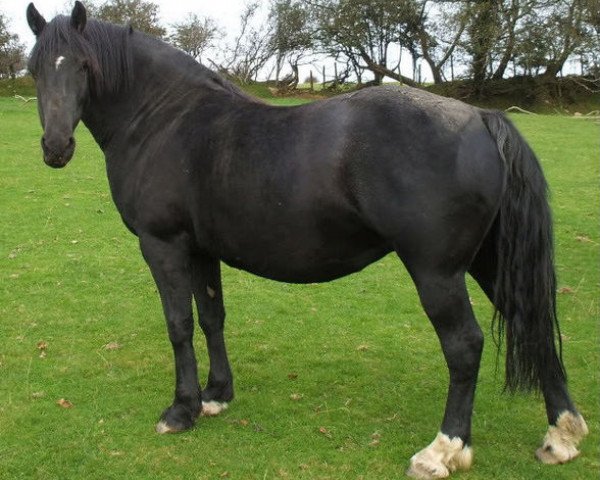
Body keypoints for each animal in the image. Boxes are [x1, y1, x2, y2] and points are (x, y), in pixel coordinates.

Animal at [27, 2, 584, 476]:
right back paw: (561, 435)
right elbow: (211, 317)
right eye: (35, 69)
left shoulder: (162, 245)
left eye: (83, 66)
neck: (167, 118)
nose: (55, 147)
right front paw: (216, 395)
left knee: (464, 346)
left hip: (437, 272)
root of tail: (481, 119)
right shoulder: (202, 250)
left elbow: (179, 324)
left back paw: (444, 449)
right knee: (531, 322)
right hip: (490, 262)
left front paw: (181, 409)